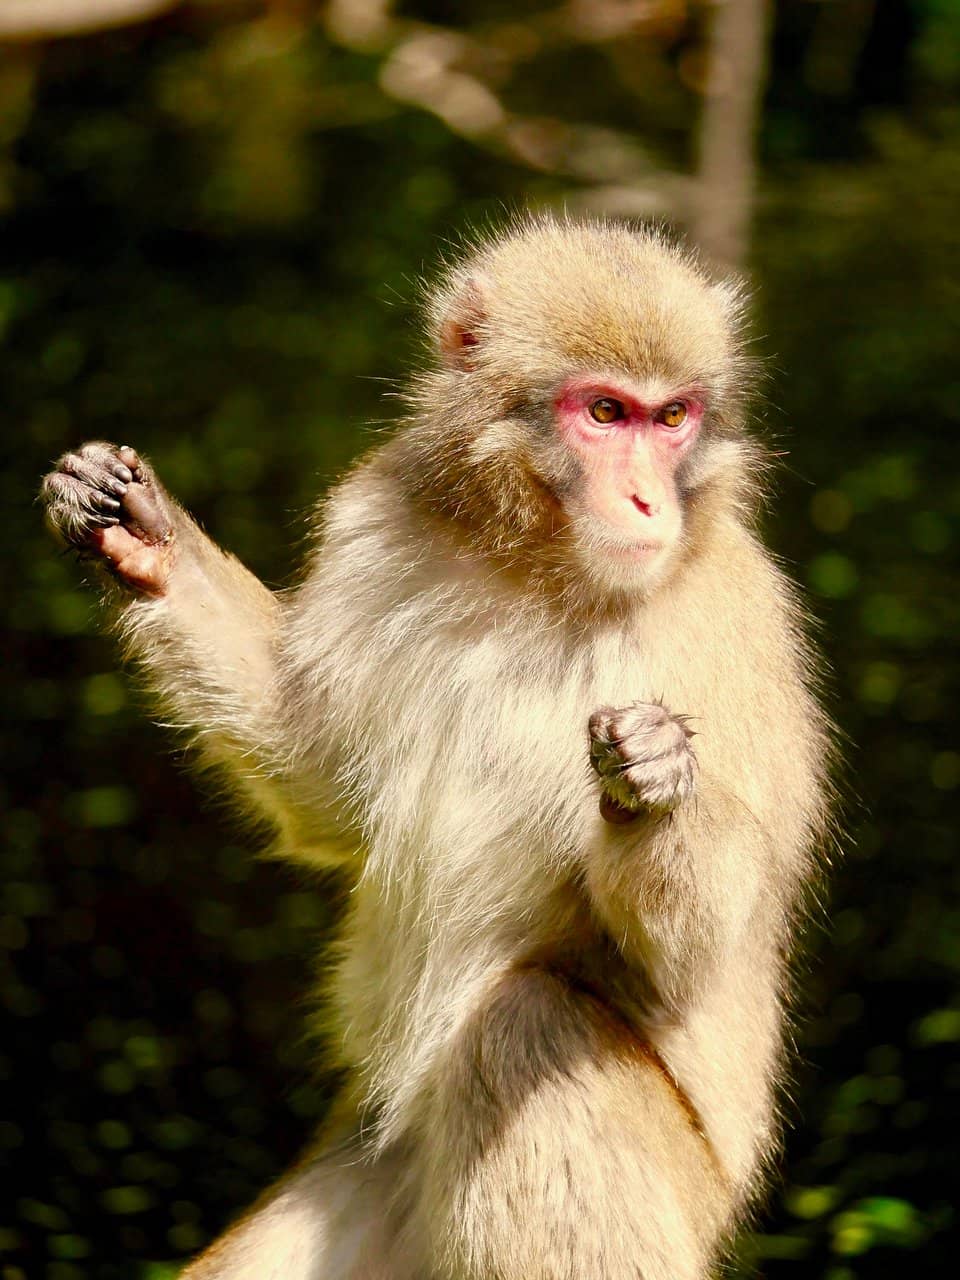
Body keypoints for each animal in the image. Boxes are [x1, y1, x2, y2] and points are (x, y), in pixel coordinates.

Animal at [41, 215, 833, 1280]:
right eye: (607, 412)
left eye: (672, 419)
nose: (646, 504)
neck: (537, 570)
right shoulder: (379, 520)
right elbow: (320, 781)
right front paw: (143, 536)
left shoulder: (721, 618)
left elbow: (693, 959)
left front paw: (658, 784)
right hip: (379, 1175)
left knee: (526, 1029)